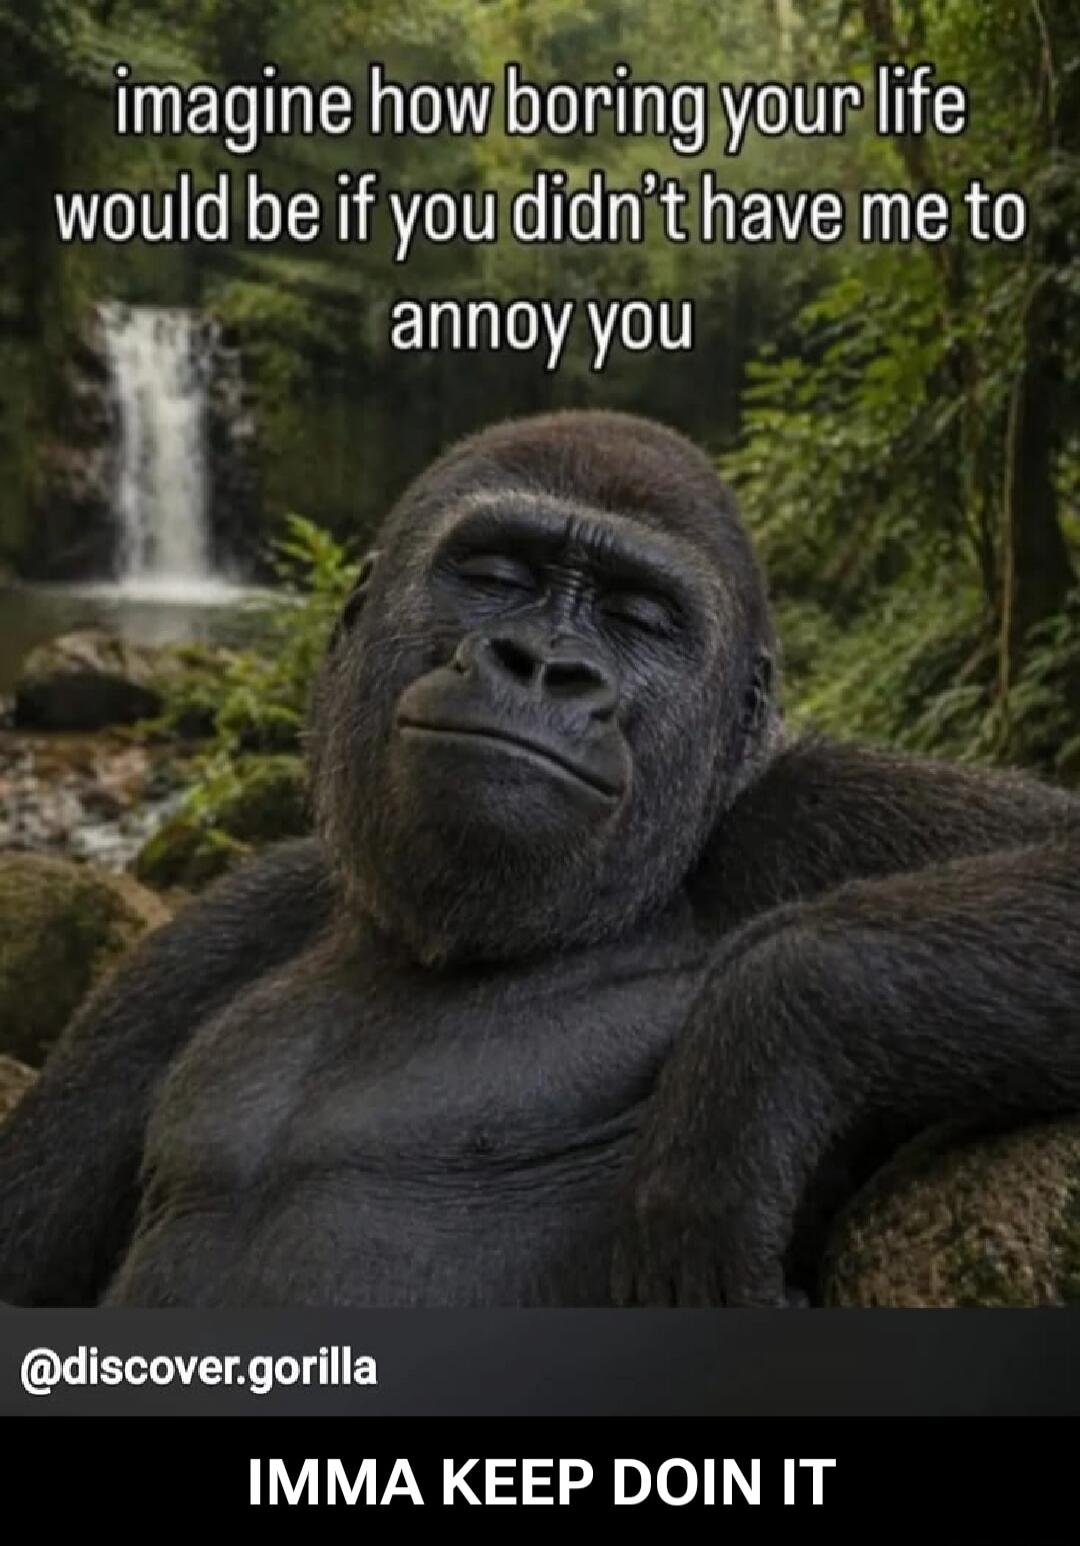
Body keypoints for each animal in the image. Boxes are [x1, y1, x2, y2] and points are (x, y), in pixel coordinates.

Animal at [0, 409, 1077, 1307]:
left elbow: (1050, 856)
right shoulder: (215, 937)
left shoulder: (800, 813)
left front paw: (747, 1076)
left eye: (640, 618)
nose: (542, 666)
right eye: (497, 575)